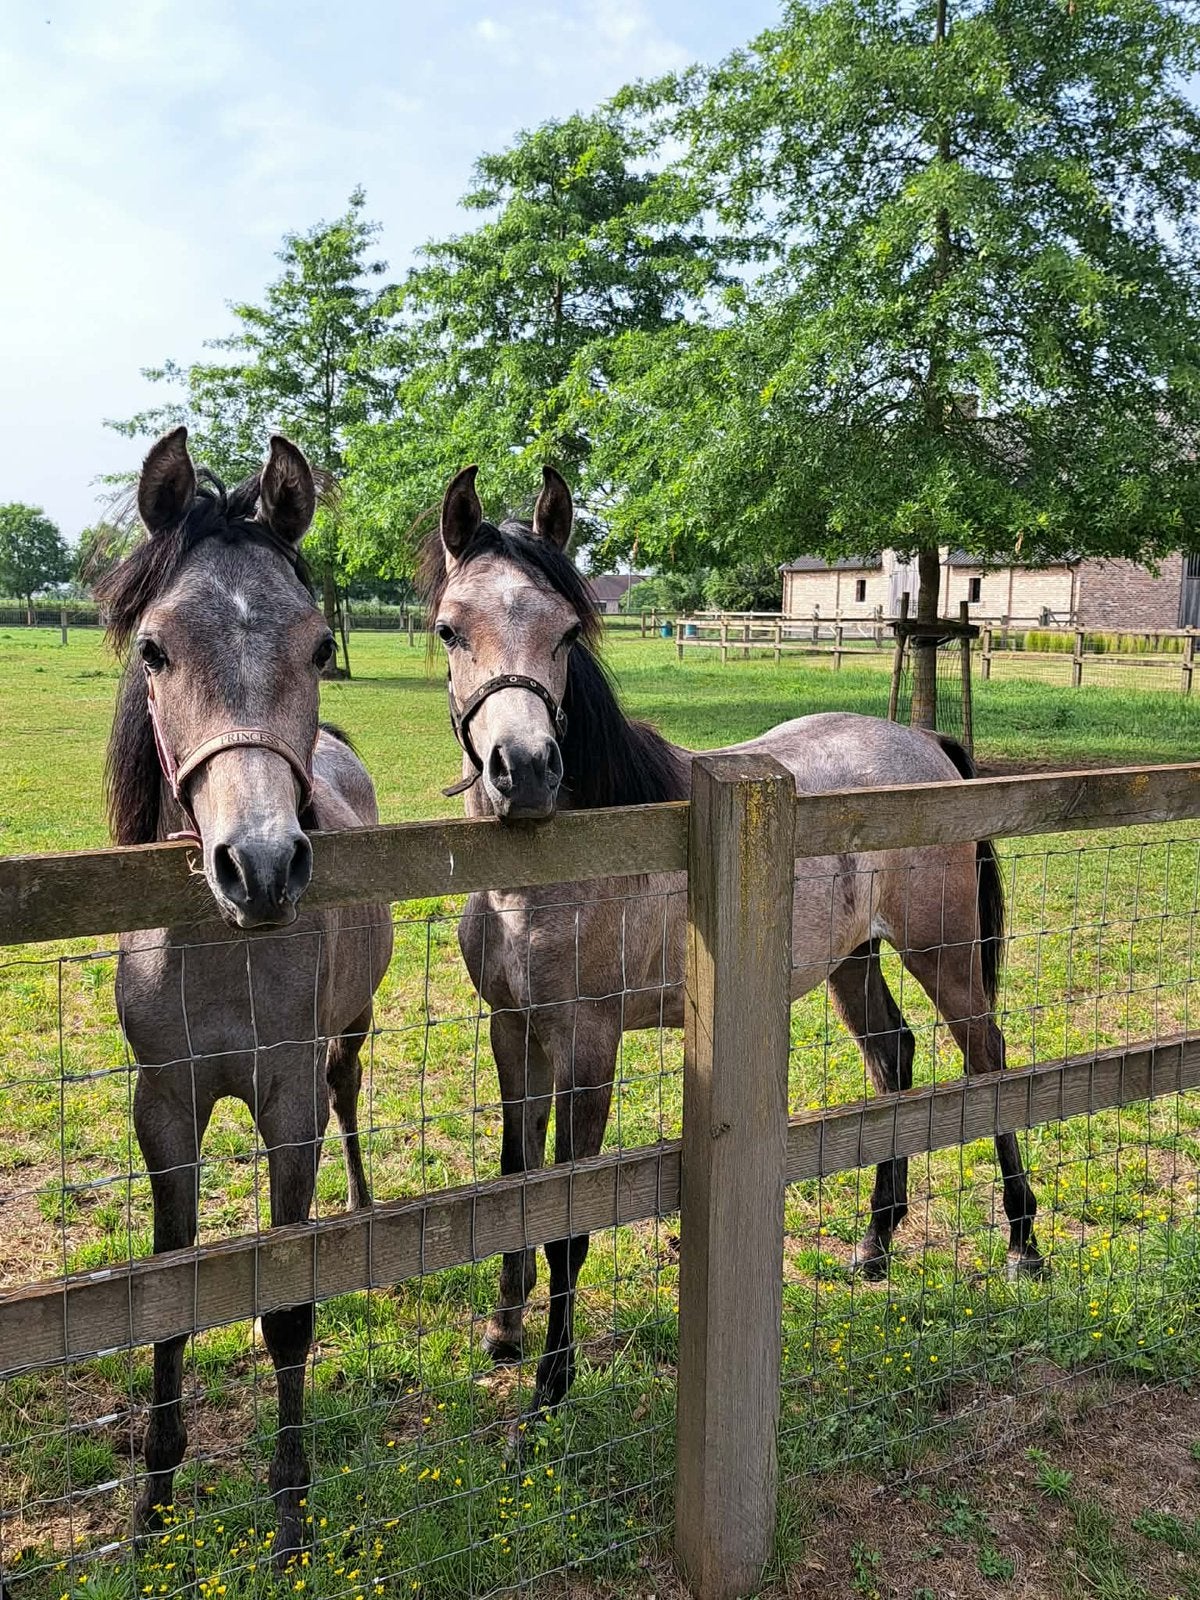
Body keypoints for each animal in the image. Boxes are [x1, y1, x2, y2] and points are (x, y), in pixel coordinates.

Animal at [99, 428, 393, 1563]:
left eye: (317, 646)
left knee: (352, 1097)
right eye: (154, 649)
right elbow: (169, 1300)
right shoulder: (164, 1106)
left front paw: (291, 1510)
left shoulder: (287, 1103)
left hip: (348, 1038)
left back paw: (363, 1205)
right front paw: (152, 1504)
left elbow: (288, 1315)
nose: (259, 867)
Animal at [422, 463, 1042, 1419]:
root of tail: (930, 748)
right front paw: (504, 1332)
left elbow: (570, 1219)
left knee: (990, 1064)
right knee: (895, 1058)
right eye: (451, 628)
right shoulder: (511, 1030)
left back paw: (1021, 1246)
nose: (524, 771)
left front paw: (552, 1386)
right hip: (852, 962)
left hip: (944, 957)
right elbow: (515, 1182)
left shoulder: (587, 1044)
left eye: (565, 630)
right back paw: (875, 1246)